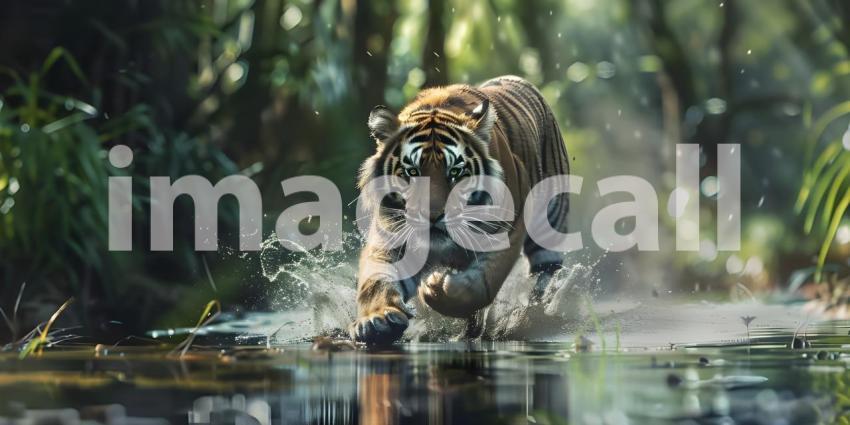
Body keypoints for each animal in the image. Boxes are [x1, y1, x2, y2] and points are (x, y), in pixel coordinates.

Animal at [351, 75, 571, 344]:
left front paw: (436, 289)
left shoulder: (506, 232)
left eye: (455, 172)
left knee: (544, 275)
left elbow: (482, 285)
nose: (432, 215)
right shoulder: (390, 237)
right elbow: (376, 282)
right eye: (411, 172)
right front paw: (377, 320)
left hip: (548, 229)